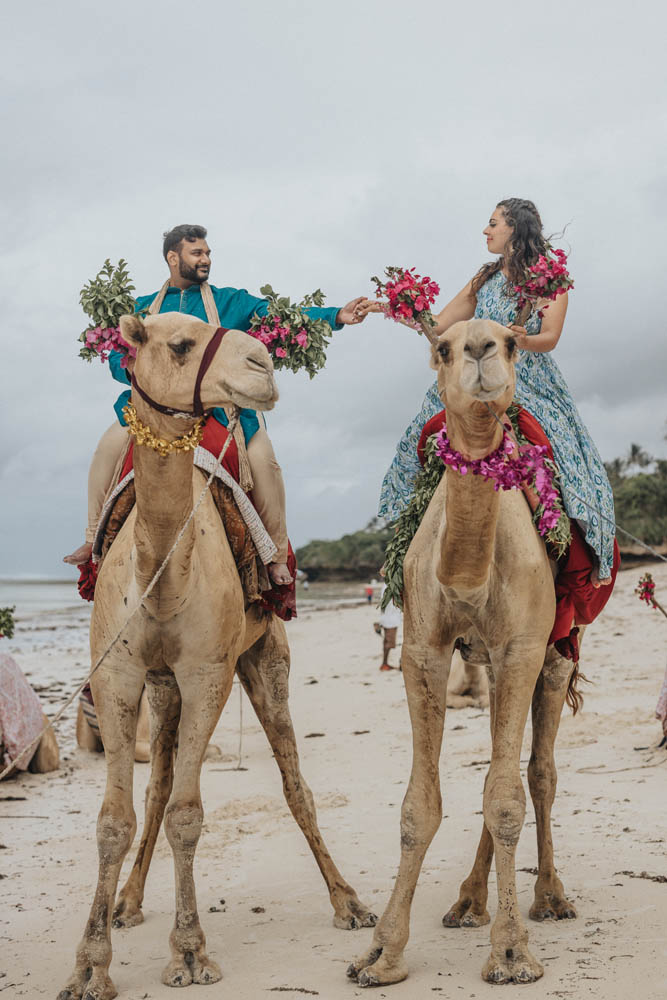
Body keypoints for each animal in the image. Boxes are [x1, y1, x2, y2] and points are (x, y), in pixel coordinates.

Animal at [57, 312, 376, 1000]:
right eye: (178, 344)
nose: (262, 364)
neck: (162, 576)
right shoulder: (119, 673)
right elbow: (115, 817)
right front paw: (89, 965)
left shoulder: (209, 672)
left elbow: (188, 813)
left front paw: (188, 952)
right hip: (162, 685)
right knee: (158, 782)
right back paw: (127, 902)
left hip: (265, 657)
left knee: (294, 782)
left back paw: (348, 902)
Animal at [350, 320, 580, 984]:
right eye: (442, 347)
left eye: (512, 340)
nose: (480, 348)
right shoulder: (423, 651)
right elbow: (419, 806)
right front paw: (380, 953)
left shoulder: (524, 647)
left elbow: (507, 797)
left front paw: (510, 954)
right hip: (489, 663)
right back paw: (468, 902)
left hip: (558, 651)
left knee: (538, 771)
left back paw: (550, 897)